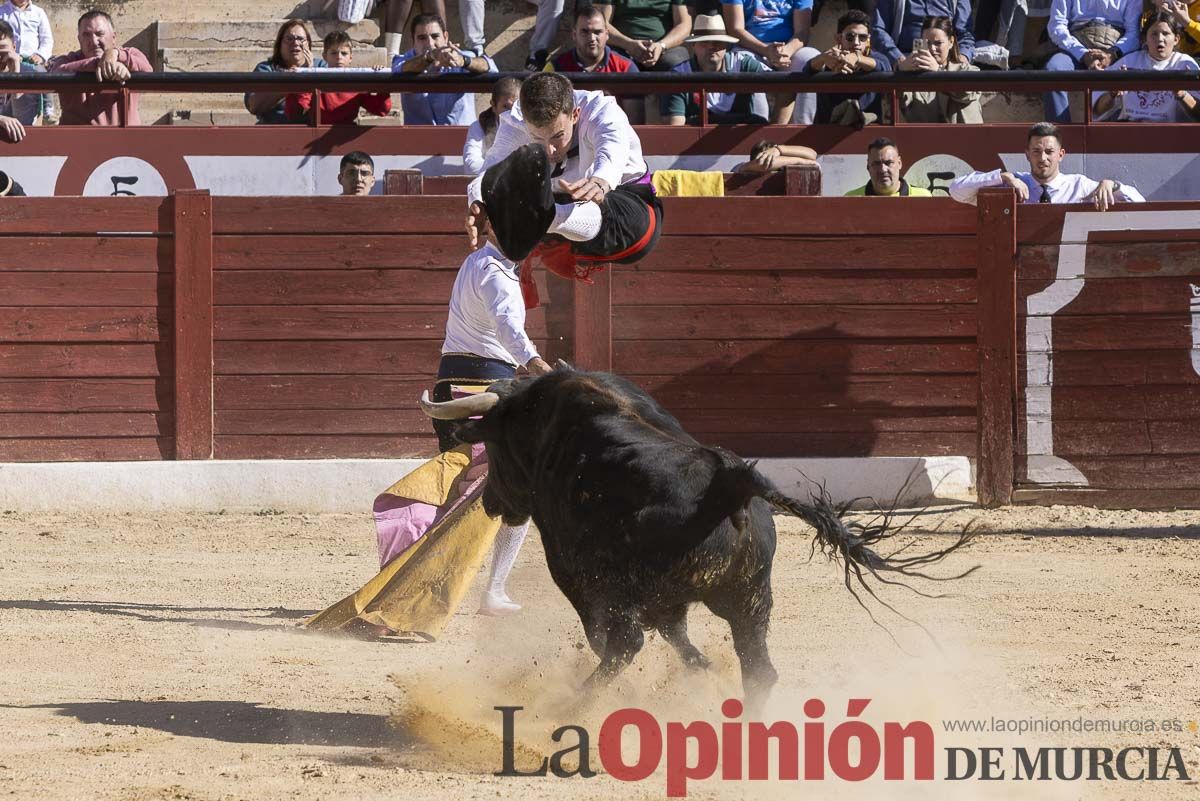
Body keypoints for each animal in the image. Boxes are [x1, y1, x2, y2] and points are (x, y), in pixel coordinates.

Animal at [422, 369, 974, 705]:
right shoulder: (670, 600)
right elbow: (679, 638)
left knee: (624, 643)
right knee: (757, 668)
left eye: (494, 446)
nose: (492, 502)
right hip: (751, 597)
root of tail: (732, 482)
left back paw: (572, 704)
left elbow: (607, 637)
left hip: (628, 585)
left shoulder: (578, 574)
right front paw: (704, 671)